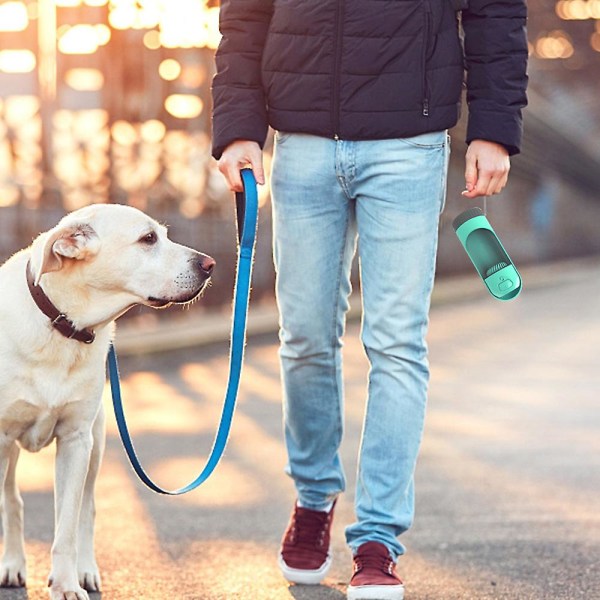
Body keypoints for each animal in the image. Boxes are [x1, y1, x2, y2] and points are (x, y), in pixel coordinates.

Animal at [0, 204, 216, 596]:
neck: (62, 327)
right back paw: (12, 564)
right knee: (12, 500)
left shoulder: (76, 441)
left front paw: (66, 585)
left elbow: (67, 527)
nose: (209, 264)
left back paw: (84, 569)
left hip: (96, 442)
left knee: (86, 509)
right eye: (148, 239)